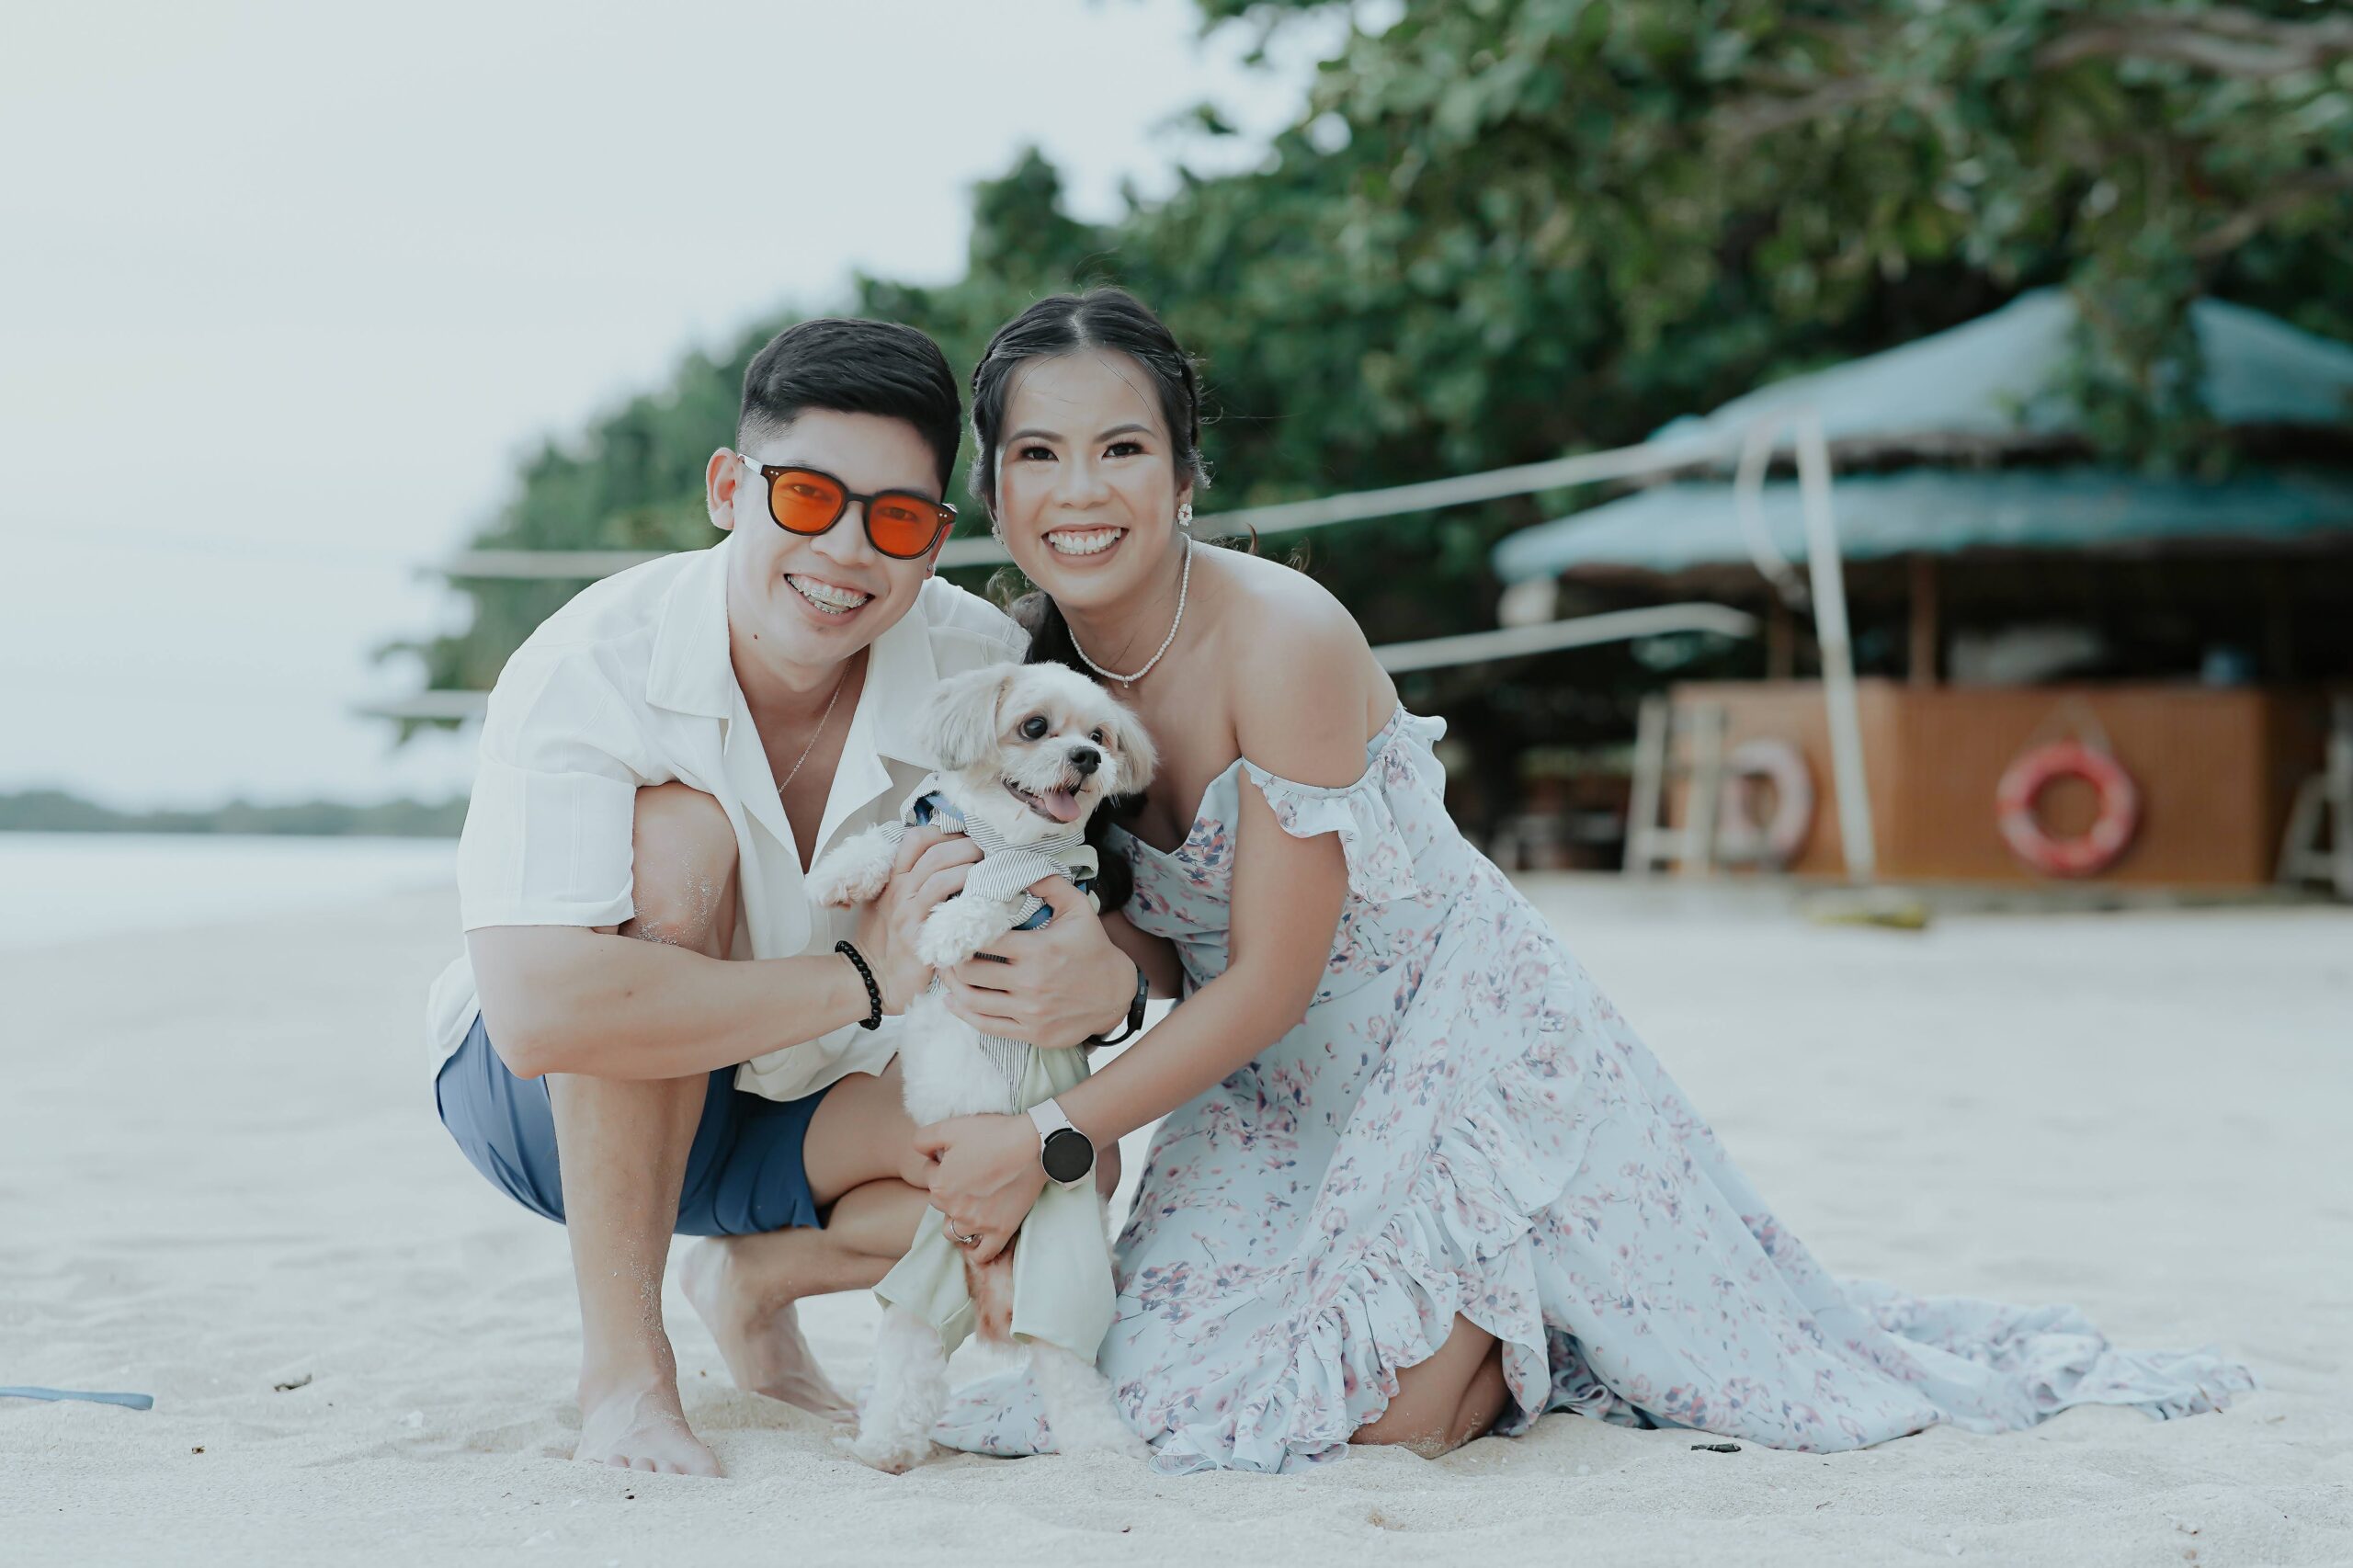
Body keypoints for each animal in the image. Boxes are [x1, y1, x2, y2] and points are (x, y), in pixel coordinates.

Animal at [807, 660, 1156, 1472]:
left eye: (1101, 736)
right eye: (1035, 727)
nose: (1086, 759)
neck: (1000, 832)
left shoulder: (1045, 899)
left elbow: (992, 895)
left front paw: (946, 930)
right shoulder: (932, 830)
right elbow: (890, 836)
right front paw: (839, 874)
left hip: (1061, 1282)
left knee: (1072, 1376)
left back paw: (1105, 1450)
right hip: (920, 1279)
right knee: (909, 1363)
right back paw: (883, 1446)